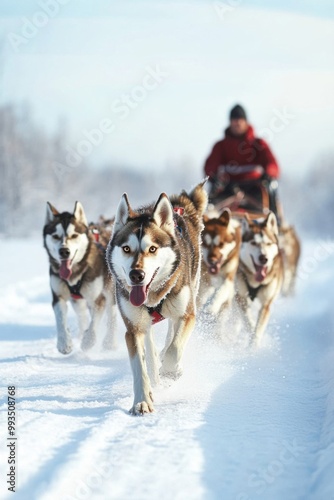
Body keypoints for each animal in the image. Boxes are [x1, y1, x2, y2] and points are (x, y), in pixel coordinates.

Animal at [43, 201, 117, 354]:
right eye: (55, 236)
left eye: (74, 235)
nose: (64, 251)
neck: (75, 273)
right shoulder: (58, 296)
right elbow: (60, 319)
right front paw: (64, 342)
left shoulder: (97, 298)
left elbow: (94, 323)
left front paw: (88, 342)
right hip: (77, 301)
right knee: (82, 316)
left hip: (110, 290)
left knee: (111, 313)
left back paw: (110, 342)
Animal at [107, 182, 207, 416]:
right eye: (126, 248)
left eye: (152, 248)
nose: (136, 275)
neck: (152, 296)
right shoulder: (133, 328)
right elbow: (140, 367)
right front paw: (142, 401)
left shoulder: (187, 314)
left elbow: (174, 349)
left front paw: (172, 371)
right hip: (144, 322)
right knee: (151, 345)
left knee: (171, 335)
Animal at [236, 212, 284, 348]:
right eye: (253, 243)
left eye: (268, 244)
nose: (264, 258)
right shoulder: (240, 297)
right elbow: (248, 320)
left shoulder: (266, 304)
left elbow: (258, 328)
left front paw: (254, 346)